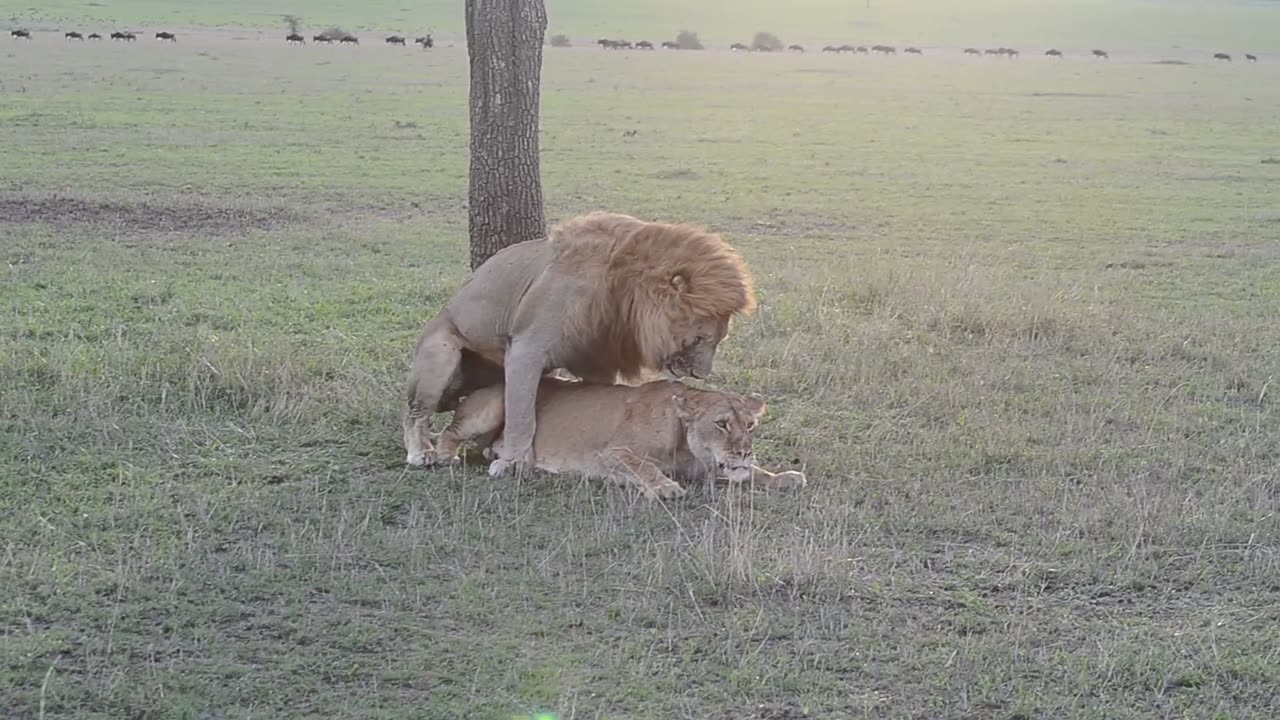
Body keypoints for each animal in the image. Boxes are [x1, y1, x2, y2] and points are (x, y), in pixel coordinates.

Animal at [404, 210, 752, 471]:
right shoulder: (526, 349)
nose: (701, 375)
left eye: (720, 339)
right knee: (414, 414)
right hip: (441, 354)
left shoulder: (596, 360)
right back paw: (422, 453)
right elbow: (521, 414)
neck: (622, 295)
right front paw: (514, 461)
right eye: (702, 337)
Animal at [435, 376, 803, 499]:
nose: (744, 451)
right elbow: (645, 468)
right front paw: (665, 487)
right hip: (496, 403)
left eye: (750, 425)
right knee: (447, 432)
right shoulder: (611, 453)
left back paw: (515, 464)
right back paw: (442, 456)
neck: (686, 446)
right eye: (722, 424)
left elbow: (755, 474)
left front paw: (785, 477)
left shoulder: (710, 471)